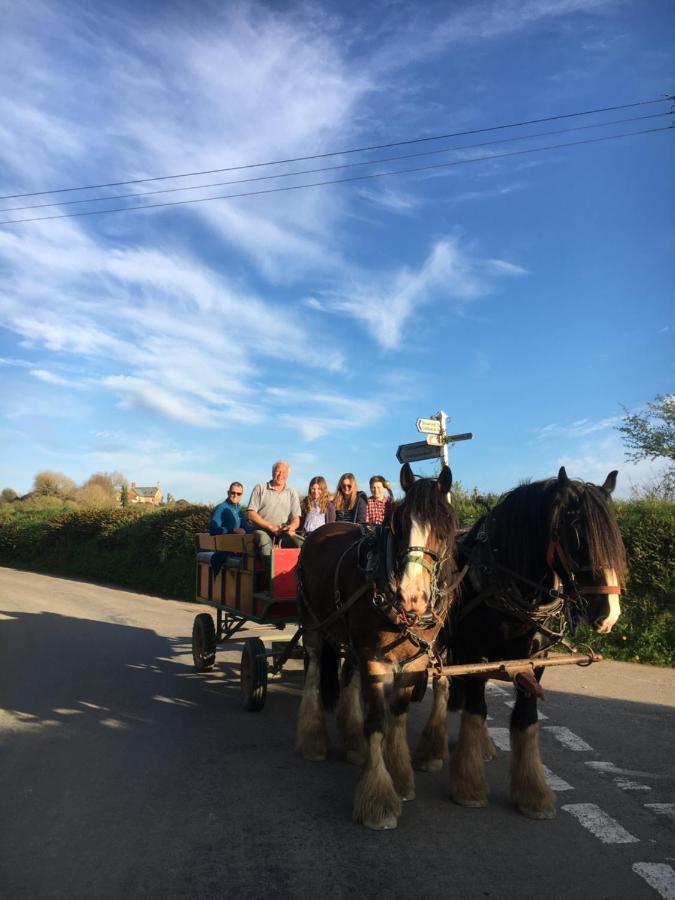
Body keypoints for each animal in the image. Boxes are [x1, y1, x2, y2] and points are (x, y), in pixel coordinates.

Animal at [298, 464, 460, 828]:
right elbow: (376, 721)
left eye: (444, 525)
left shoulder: (414, 661)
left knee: (348, 673)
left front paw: (399, 777)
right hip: (313, 624)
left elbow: (397, 715)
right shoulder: (374, 658)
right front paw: (378, 799)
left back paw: (353, 741)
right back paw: (313, 739)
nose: (411, 597)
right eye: (399, 523)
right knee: (313, 670)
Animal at [418, 468, 628, 820]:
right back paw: (433, 749)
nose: (609, 615)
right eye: (577, 538)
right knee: (445, 684)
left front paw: (533, 794)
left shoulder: (536, 658)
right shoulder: (473, 649)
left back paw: (482, 746)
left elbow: (525, 718)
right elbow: (475, 708)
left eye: (614, 539)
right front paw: (469, 787)